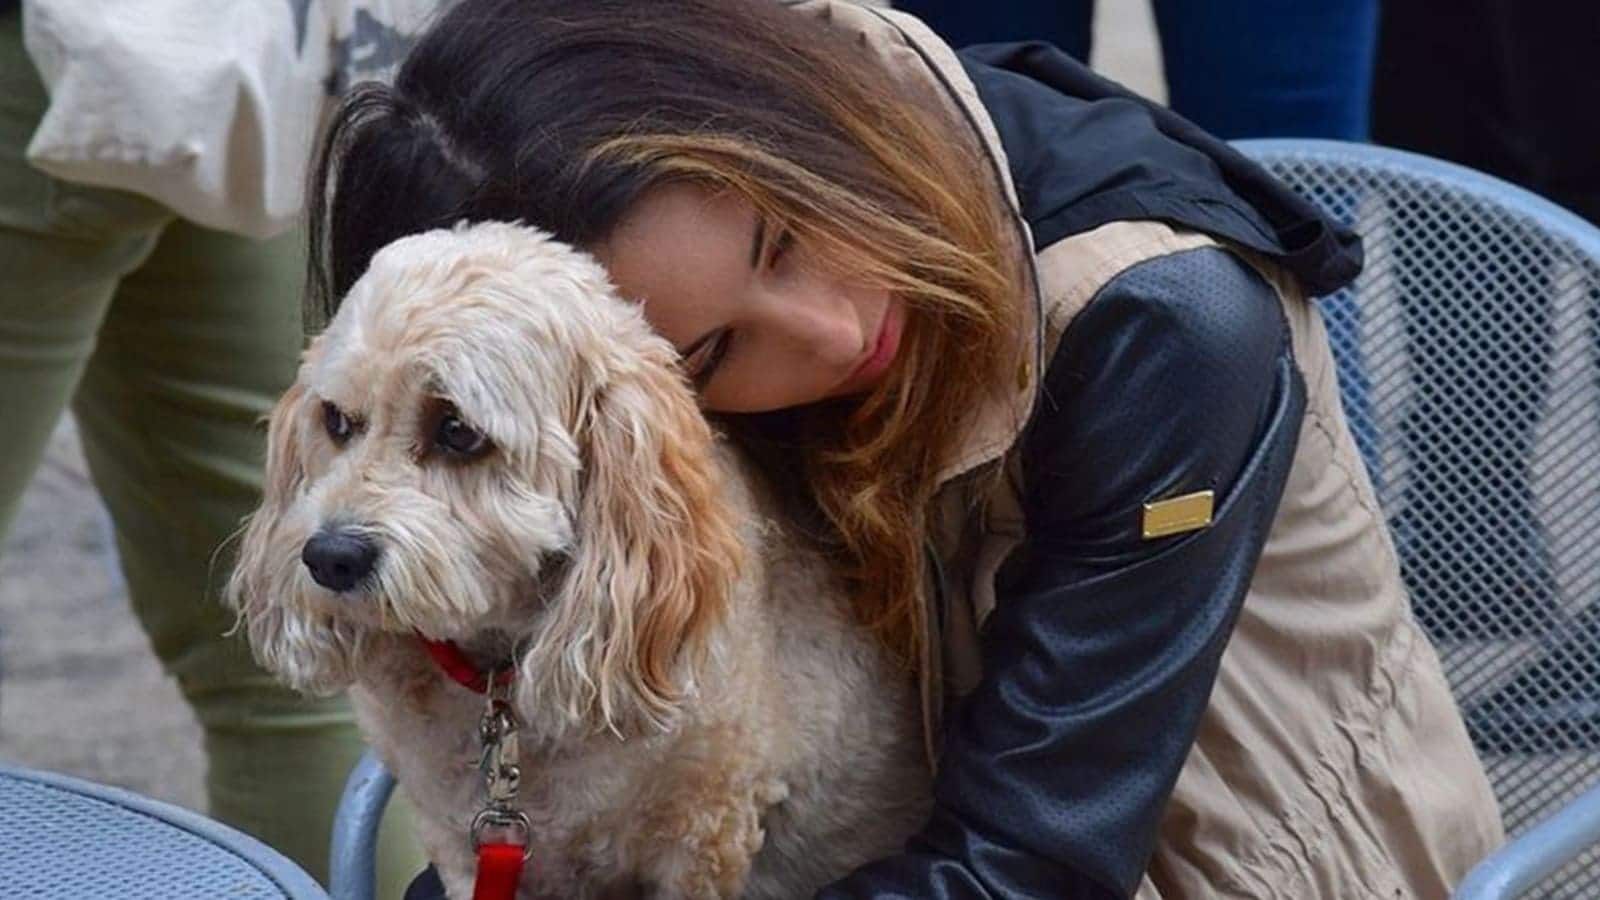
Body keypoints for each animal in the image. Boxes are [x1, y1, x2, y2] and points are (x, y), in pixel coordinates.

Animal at [226, 221, 930, 899]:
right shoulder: (460, 841)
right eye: (337, 421)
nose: (329, 558)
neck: (501, 682)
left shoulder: (705, 832)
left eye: (458, 431)